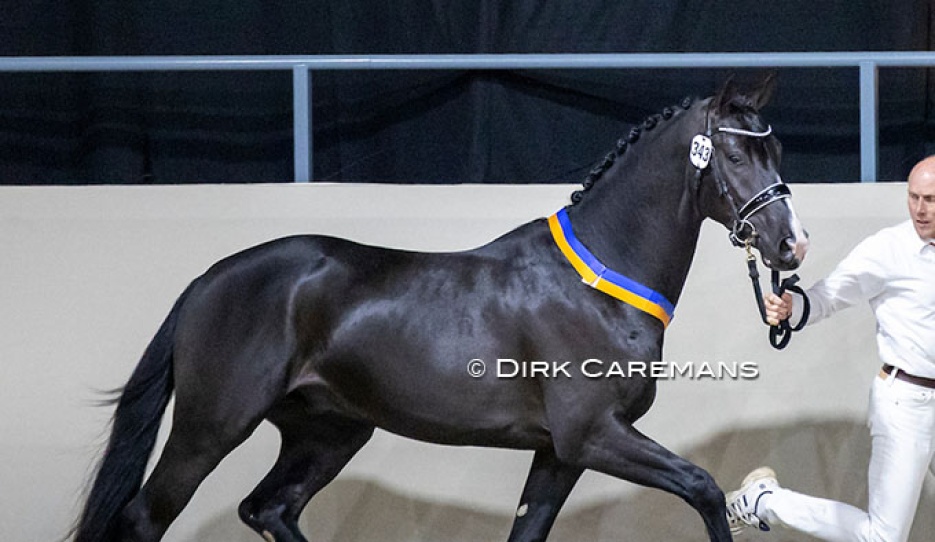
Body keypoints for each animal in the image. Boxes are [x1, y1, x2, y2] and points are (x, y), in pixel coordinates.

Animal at [73, 74, 808, 542]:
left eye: (776, 148)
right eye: (735, 151)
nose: (790, 244)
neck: (600, 282)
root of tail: (208, 281)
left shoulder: (560, 453)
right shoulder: (594, 435)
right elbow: (705, 488)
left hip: (329, 431)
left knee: (268, 509)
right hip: (211, 427)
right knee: (146, 518)